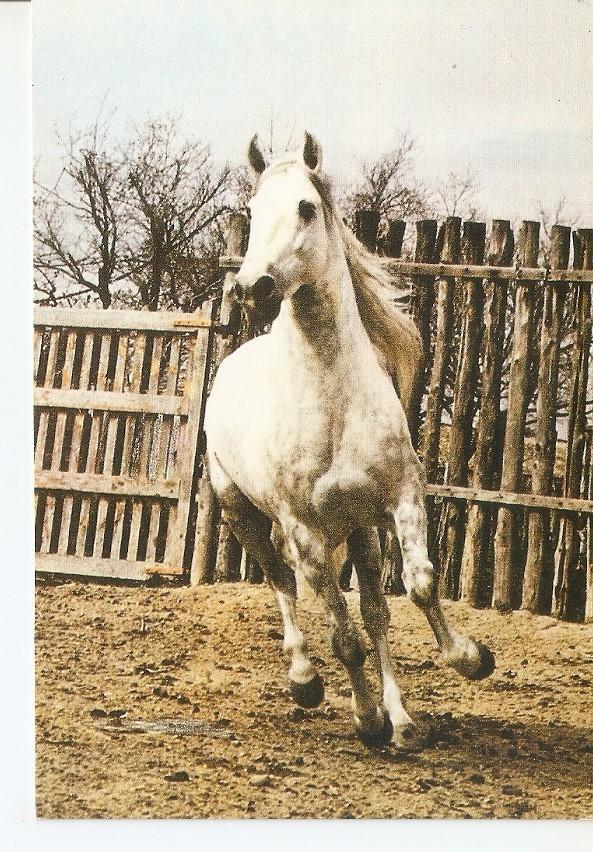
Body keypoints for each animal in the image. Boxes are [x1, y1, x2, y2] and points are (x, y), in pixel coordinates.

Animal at [204, 133, 495, 748]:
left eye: (306, 208)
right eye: (252, 211)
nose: (250, 287)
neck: (331, 398)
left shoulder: (401, 498)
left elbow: (419, 587)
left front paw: (469, 659)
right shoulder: (306, 533)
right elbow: (346, 639)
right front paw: (366, 721)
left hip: (360, 530)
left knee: (377, 613)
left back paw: (404, 720)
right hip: (243, 513)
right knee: (283, 584)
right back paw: (306, 681)